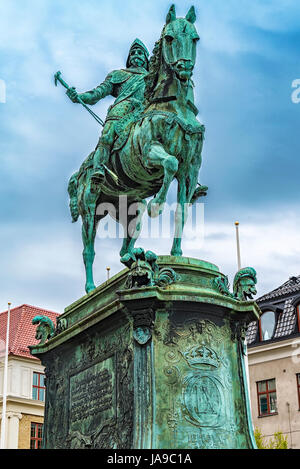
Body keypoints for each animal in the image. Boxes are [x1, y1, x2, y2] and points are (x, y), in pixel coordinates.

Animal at [68, 5, 207, 292]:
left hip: (130, 209)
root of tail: (80, 172)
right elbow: (169, 163)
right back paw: (90, 288)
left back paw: (134, 257)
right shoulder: (148, 154)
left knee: (123, 248)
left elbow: (182, 212)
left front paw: (177, 254)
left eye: (195, 38)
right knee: (88, 250)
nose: (185, 67)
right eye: (169, 38)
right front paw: (157, 204)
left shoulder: (191, 171)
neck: (172, 107)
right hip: (90, 209)